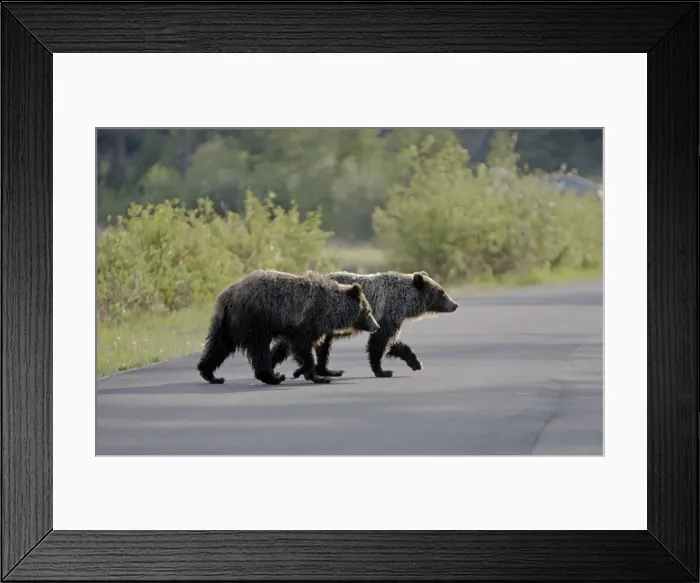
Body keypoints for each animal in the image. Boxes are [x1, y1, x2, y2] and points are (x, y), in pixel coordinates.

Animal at [196, 269, 380, 386]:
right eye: (368, 311)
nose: (376, 326)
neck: (330, 310)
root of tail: (227, 295)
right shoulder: (307, 321)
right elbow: (303, 348)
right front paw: (303, 372)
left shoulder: (295, 327)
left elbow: (292, 349)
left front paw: (316, 376)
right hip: (255, 320)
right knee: (258, 349)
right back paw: (273, 377)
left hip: (227, 323)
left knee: (219, 345)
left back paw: (210, 374)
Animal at [270, 270, 459, 379]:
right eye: (442, 292)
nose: (455, 304)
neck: (404, 300)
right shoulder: (389, 312)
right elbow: (380, 342)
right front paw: (383, 371)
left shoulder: (386, 318)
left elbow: (393, 342)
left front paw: (415, 362)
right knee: (292, 344)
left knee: (320, 346)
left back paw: (328, 370)